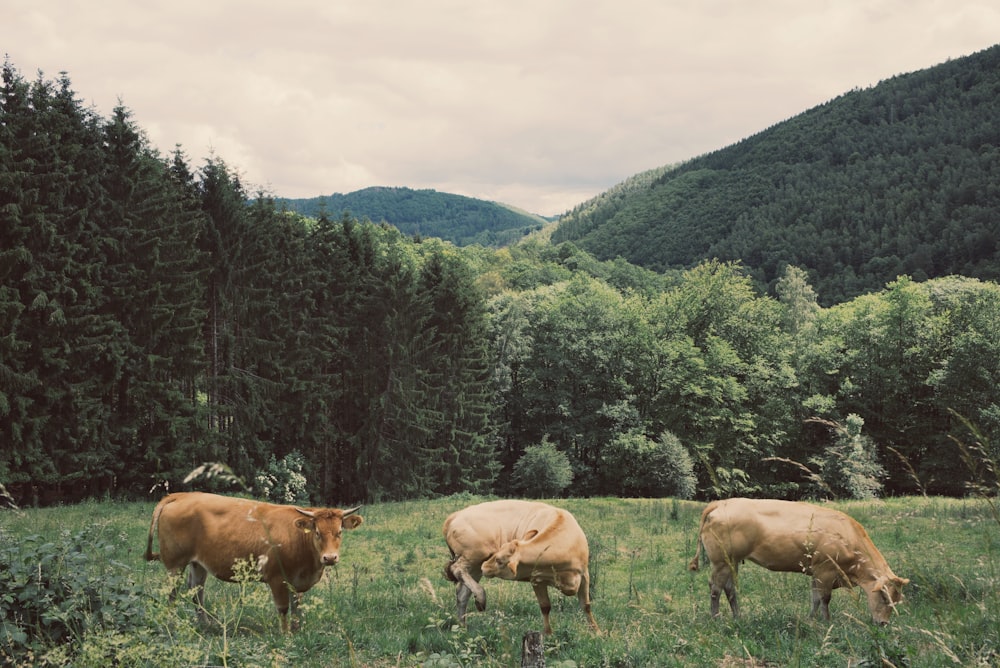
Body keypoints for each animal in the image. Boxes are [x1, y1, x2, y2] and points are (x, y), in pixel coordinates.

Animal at [145, 490, 364, 632]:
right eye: (317, 532)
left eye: (340, 531)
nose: (330, 557)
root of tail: (181, 495)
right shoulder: (277, 578)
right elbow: (283, 608)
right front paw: (285, 635)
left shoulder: (296, 580)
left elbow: (297, 607)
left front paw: (297, 631)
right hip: (175, 564)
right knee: (172, 593)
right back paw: (171, 623)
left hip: (198, 563)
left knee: (196, 590)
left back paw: (205, 623)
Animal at [442, 498, 596, 636]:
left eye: (499, 560)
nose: (485, 566)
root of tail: (455, 515)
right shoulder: (537, 580)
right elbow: (545, 606)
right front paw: (548, 634)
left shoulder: (584, 574)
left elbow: (586, 605)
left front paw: (596, 632)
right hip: (474, 555)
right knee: (457, 569)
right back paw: (480, 596)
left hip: (475, 565)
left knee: (462, 593)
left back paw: (463, 626)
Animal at [688, 498, 908, 624]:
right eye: (885, 597)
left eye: (897, 599)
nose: (884, 624)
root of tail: (722, 502)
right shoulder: (826, 570)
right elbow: (825, 598)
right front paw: (827, 622)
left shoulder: (816, 572)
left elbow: (815, 598)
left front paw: (811, 619)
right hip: (721, 562)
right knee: (715, 588)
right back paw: (716, 618)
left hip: (731, 561)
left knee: (729, 588)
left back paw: (737, 617)